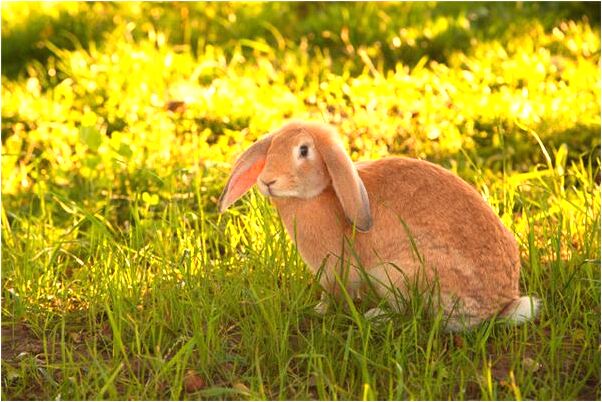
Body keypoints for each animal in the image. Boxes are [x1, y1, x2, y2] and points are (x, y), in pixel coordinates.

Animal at [218, 121, 536, 332]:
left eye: (304, 150)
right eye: (271, 149)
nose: (267, 181)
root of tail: (501, 306)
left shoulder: (335, 271)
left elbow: (333, 293)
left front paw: (320, 311)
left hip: (398, 275)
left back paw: (374, 317)